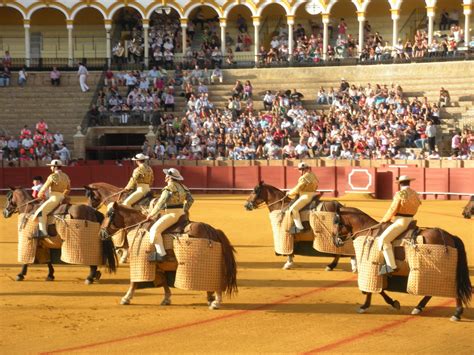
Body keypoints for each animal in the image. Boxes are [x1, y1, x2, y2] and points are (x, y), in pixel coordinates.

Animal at [101, 203, 239, 308]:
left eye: (108, 215)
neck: (138, 227)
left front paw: (126, 298)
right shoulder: (160, 266)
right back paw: (211, 298)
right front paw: (166, 299)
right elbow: (164, 281)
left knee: (218, 281)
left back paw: (216, 302)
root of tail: (213, 230)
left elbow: (134, 283)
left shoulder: (141, 262)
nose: (101, 233)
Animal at [332, 203, 472, 322]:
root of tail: (450, 236)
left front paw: (366, 306)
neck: (367, 230)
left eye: (336, 222)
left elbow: (375, 289)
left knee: (454, 289)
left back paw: (456, 313)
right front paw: (392, 303)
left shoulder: (371, 267)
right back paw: (419, 307)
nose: (335, 241)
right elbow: (379, 289)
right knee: (433, 291)